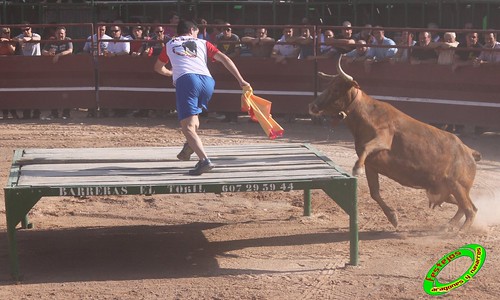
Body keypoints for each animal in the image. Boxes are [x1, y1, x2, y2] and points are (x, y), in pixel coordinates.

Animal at [308, 56, 480, 231]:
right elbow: (374, 193)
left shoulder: (383, 138)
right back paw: (448, 226)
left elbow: (366, 148)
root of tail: (469, 151)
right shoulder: (372, 165)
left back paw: (458, 231)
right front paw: (393, 217)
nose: (312, 106)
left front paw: (356, 169)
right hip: (443, 190)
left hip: (457, 186)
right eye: (328, 86)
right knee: (464, 207)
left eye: (336, 89)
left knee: (470, 209)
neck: (366, 114)